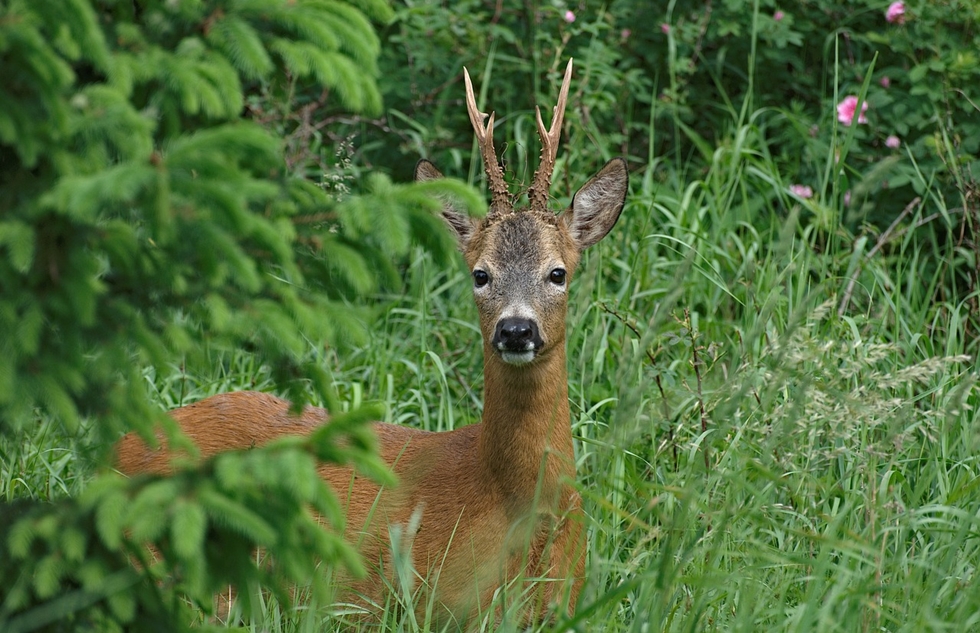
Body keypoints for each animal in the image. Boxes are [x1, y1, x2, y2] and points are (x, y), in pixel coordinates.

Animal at [115, 60, 632, 628]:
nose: (516, 330)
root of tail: (116, 451)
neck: (514, 506)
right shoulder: (437, 605)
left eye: (557, 272)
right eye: (480, 274)